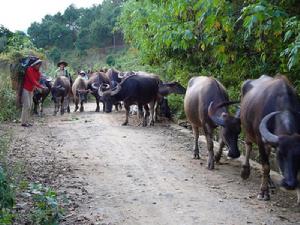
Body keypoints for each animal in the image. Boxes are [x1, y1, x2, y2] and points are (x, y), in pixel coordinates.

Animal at [240, 74, 300, 203]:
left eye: (299, 156)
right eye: (280, 154)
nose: (290, 184)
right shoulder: (260, 140)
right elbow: (266, 166)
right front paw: (263, 192)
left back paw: (270, 182)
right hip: (246, 127)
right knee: (248, 145)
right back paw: (245, 171)